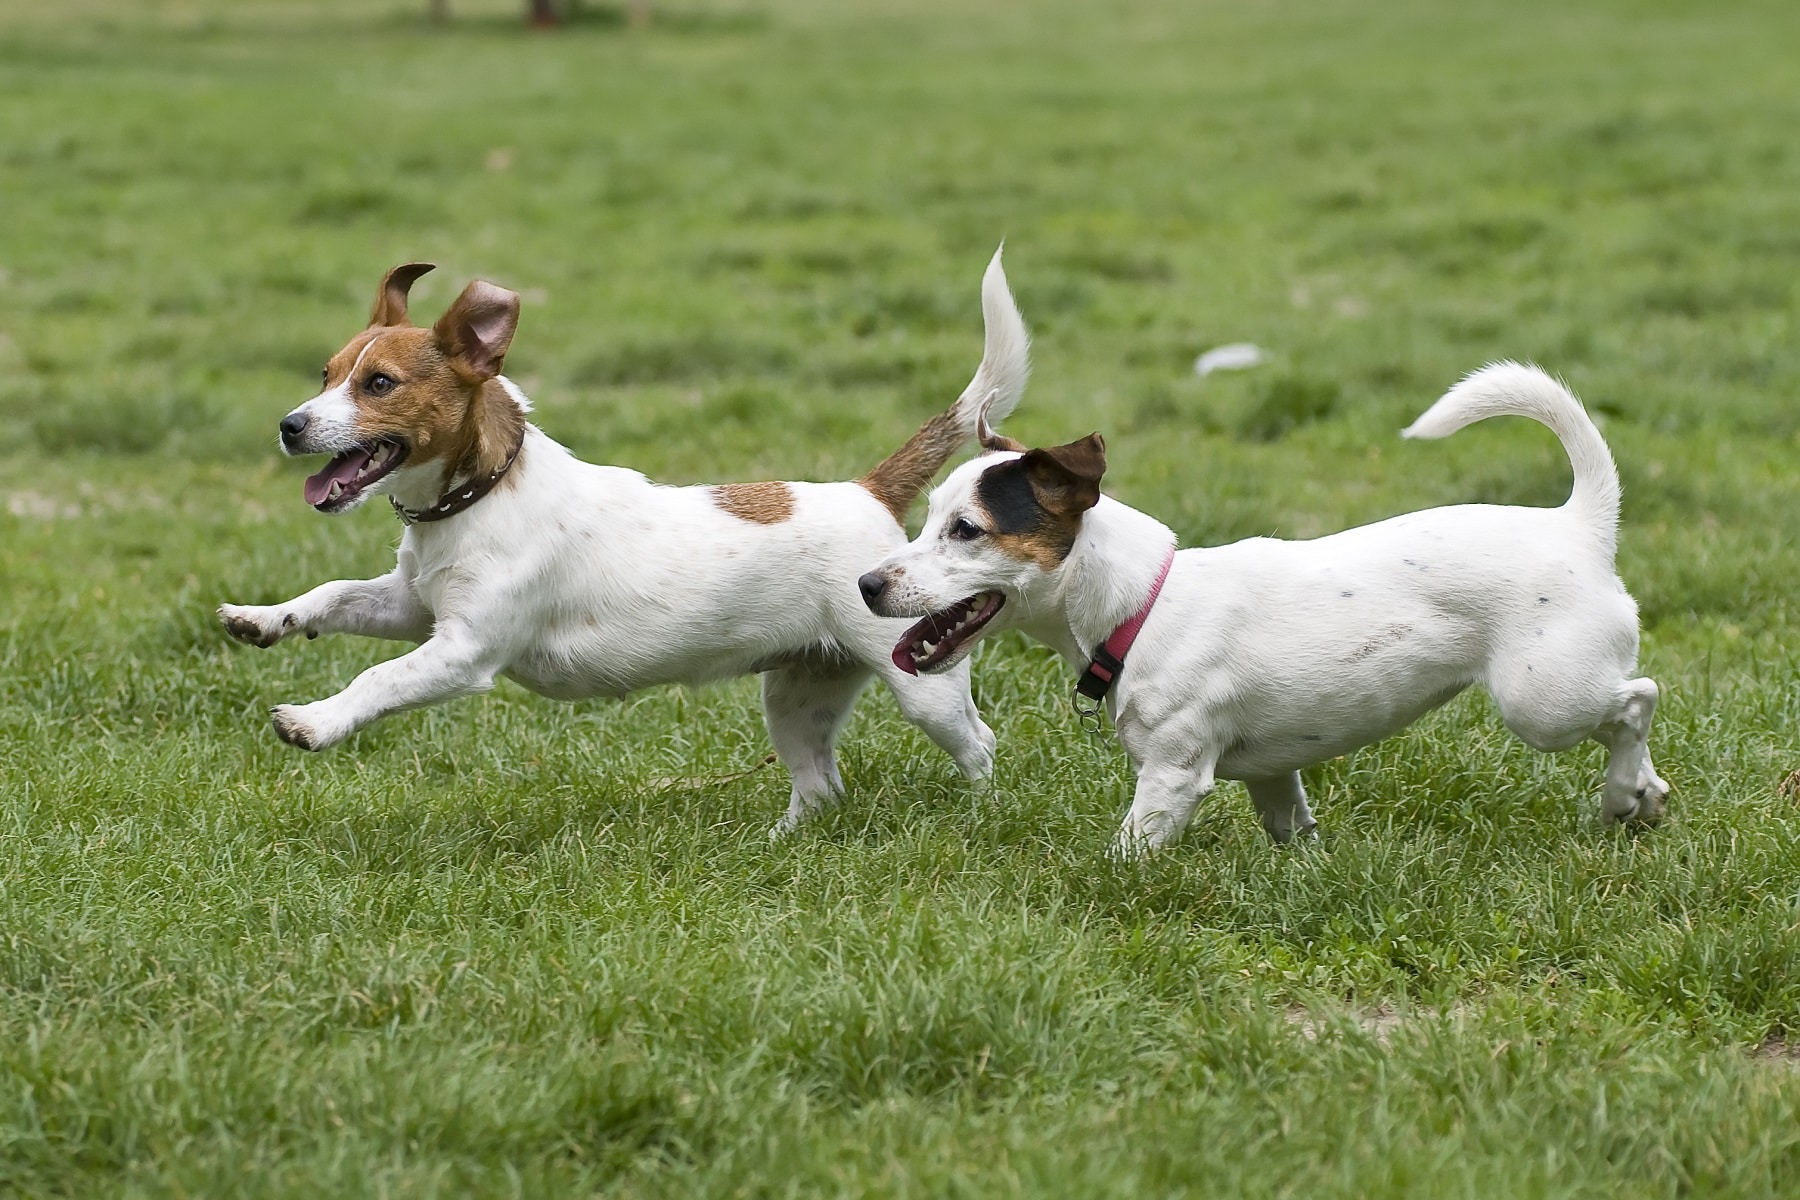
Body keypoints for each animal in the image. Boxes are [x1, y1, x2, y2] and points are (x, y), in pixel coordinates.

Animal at [214, 253, 1029, 834]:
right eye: (325, 374)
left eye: (378, 384)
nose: (289, 425)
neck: (482, 496)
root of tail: (868, 491)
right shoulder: (413, 607)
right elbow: (333, 595)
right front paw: (263, 618)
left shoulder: (462, 651)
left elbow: (377, 680)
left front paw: (315, 721)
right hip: (798, 694)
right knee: (821, 786)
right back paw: (779, 844)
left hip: (922, 684)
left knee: (981, 744)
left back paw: (982, 815)